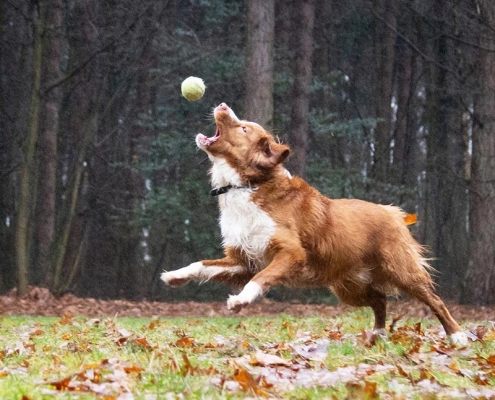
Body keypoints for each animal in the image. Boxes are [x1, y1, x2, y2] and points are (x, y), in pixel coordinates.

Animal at [162, 102, 468, 344]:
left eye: (245, 128)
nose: (223, 105)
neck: (247, 185)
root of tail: (391, 212)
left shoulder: (290, 253)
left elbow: (261, 279)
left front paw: (240, 301)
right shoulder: (243, 259)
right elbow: (202, 265)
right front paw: (175, 275)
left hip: (401, 271)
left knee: (434, 300)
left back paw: (457, 336)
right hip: (347, 287)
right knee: (379, 300)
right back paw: (379, 334)